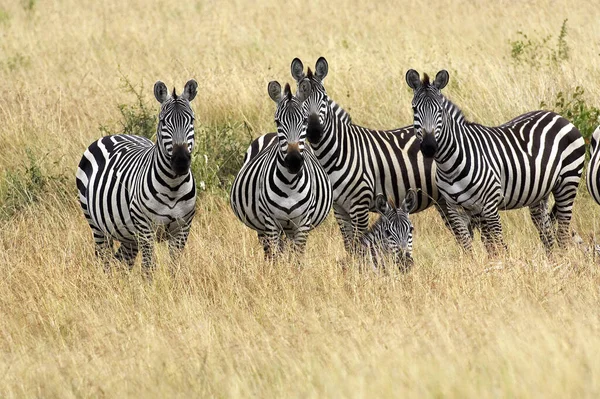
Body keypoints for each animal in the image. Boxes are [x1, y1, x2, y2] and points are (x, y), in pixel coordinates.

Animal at [76, 79, 198, 274]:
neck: (173, 186)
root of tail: (115, 135)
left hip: (128, 234)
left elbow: (174, 268)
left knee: (123, 261)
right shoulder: (145, 228)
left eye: (191, 120)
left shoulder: (183, 228)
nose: (181, 161)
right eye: (163, 121)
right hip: (96, 224)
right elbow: (148, 268)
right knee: (104, 260)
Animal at [230, 80, 332, 260]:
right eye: (277, 121)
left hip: (289, 228)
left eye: (305, 120)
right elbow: (275, 257)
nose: (293, 161)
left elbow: (297, 257)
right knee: (269, 251)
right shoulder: (271, 222)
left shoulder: (303, 222)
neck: (290, 184)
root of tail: (270, 134)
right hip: (263, 227)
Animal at [244, 57, 474, 255]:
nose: (315, 131)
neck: (337, 153)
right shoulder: (339, 209)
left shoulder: (360, 205)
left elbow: (359, 242)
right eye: (303, 104)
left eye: (324, 98)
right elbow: (348, 244)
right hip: (442, 200)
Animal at [406, 69, 584, 255]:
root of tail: (558, 116)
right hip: (539, 193)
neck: (449, 166)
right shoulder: (455, 208)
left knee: (562, 233)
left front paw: (503, 263)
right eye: (414, 109)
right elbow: (469, 247)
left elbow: (498, 244)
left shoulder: (490, 204)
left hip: (568, 183)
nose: (429, 147)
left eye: (440, 110)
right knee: (547, 234)